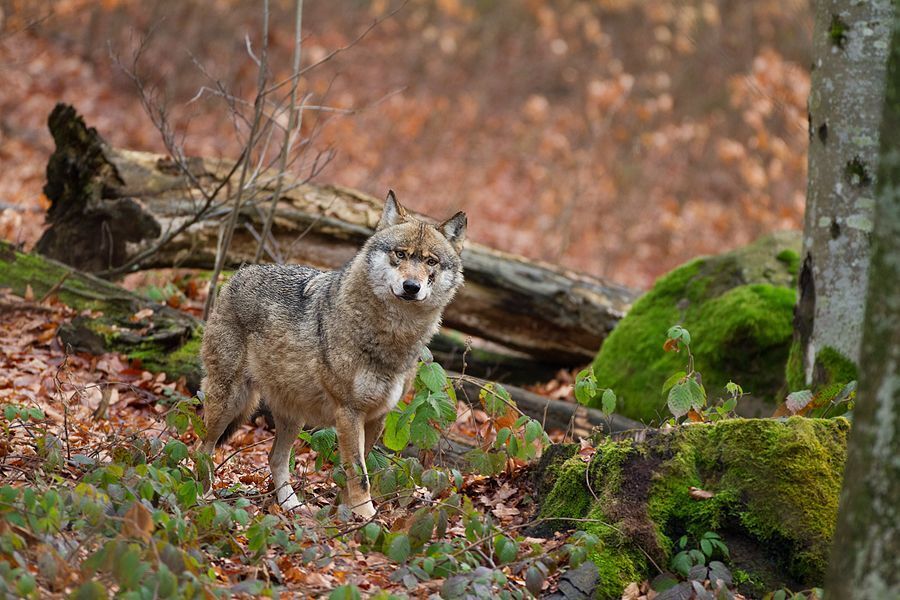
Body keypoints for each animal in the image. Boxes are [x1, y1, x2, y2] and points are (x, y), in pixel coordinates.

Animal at [198, 191, 466, 518]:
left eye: (430, 261)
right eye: (400, 255)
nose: (411, 287)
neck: (392, 336)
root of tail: (238, 274)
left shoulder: (377, 416)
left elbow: (357, 471)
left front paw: (347, 514)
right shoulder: (349, 412)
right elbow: (359, 474)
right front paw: (367, 518)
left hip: (292, 416)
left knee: (275, 458)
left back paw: (291, 506)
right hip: (229, 402)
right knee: (203, 448)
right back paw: (203, 497)